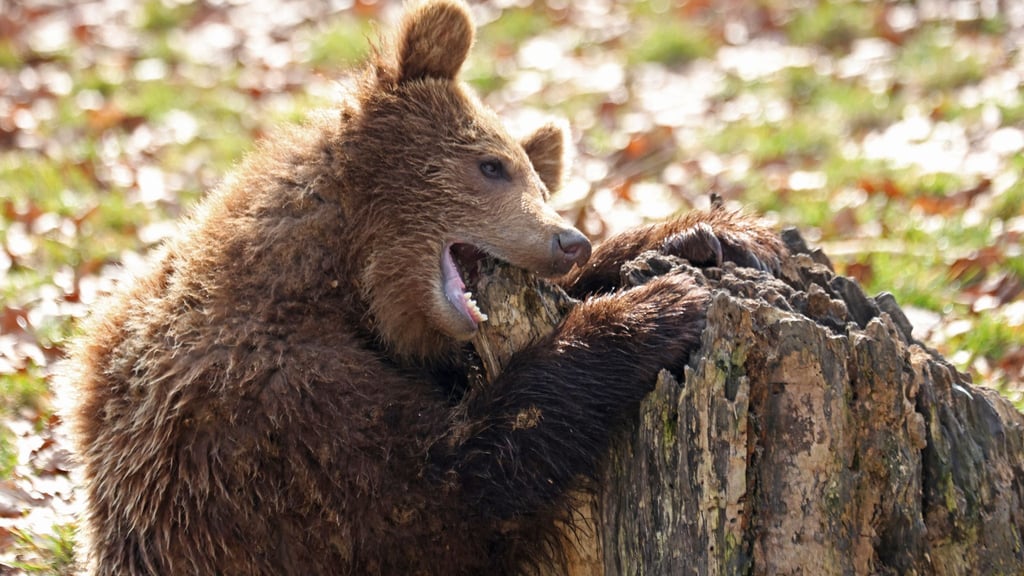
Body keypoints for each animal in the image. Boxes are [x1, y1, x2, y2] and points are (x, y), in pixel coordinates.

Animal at [62, 1, 786, 574]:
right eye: (490, 165)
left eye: (539, 181)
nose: (569, 241)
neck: (338, 282)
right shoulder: (264, 418)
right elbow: (440, 489)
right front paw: (659, 308)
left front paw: (705, 237)